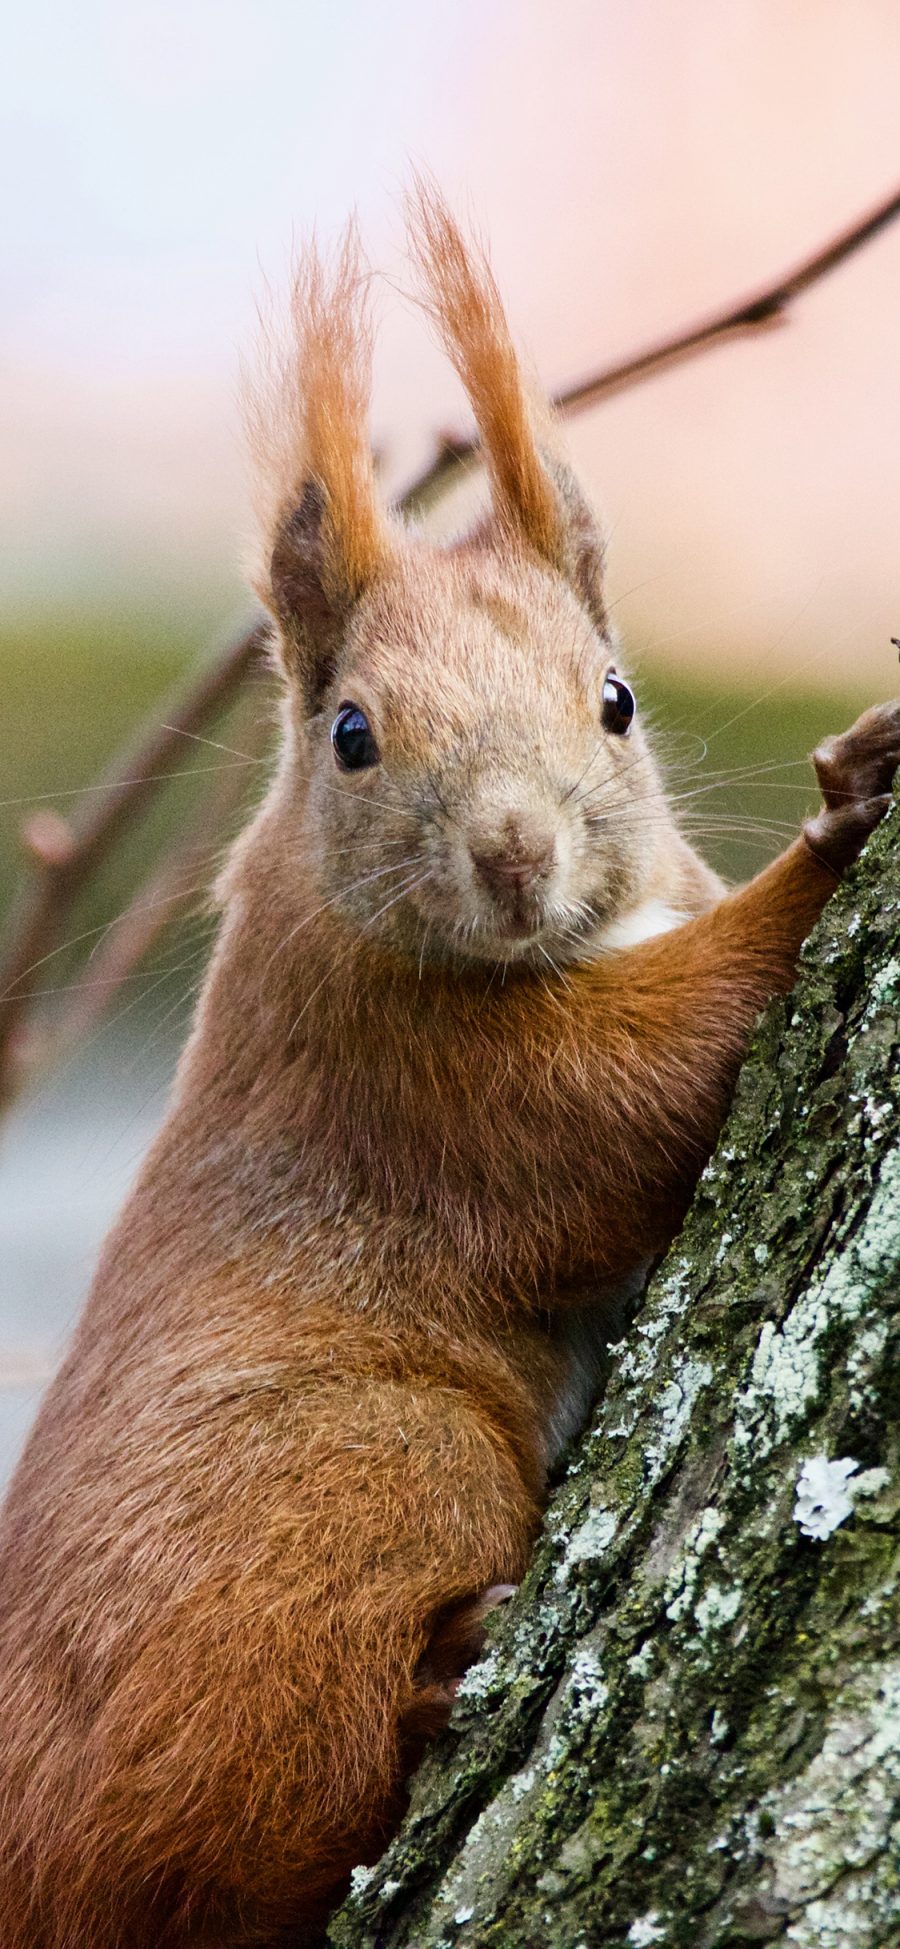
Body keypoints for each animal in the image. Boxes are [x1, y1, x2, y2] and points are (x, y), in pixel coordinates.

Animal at [1, 186, 900, 1949]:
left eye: (617, 700)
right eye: (353, 733)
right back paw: (426, 1700)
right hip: (370, 1469)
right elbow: (642, 1086)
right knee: (196, 1859)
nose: (514, 854)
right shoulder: (405, 1078)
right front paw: (844, 822)